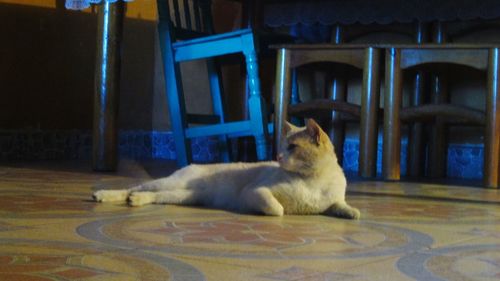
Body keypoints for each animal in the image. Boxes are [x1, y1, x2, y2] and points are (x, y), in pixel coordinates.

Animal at [92, 118, 360, 219]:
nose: (278, 156)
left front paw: (353, 213)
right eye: (283, 146)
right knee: (132, 187)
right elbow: (278, 209)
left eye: (292, 147)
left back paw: (136, 201)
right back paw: (102, 195)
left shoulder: (332, 202)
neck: (312, 180)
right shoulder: (258, 192)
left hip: (183, 196)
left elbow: (343, 207)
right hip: (170, 183)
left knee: (151, 195)